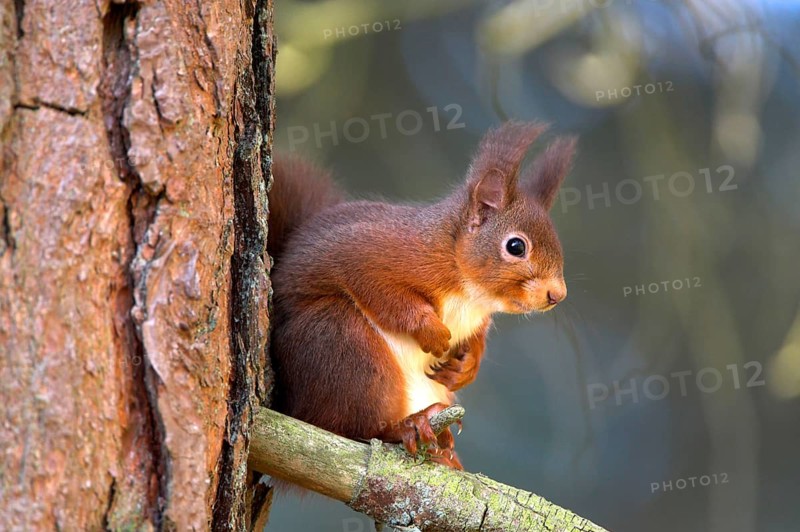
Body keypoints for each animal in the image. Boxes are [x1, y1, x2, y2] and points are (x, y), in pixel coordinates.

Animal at [267, 121, 576, 470]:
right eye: (516, 246)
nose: (558, 294)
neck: (470, 293)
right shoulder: (370, 254)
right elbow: (382, 292)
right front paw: (432, 331)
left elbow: (477, 336)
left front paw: (467, 365)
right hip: (340, 342)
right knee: (348, 426)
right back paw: (407, 426)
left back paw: (444, 450)